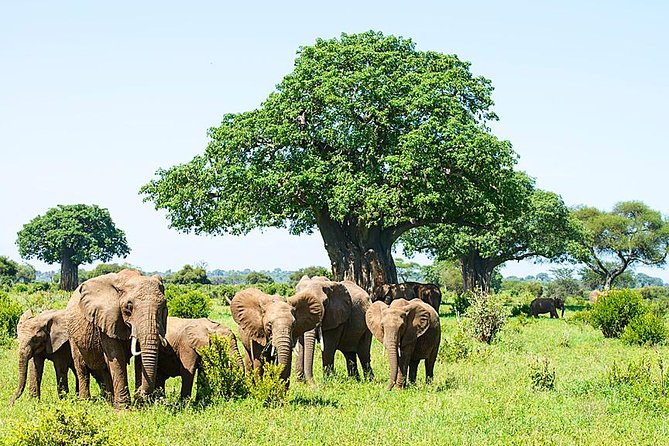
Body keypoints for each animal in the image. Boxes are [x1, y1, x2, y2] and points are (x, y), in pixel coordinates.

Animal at [65, 268, 168, 408]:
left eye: (164, 306)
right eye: (129, 307)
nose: (140, 394)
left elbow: (139, 360)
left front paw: (140, 405)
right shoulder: (106, 319)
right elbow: (117, 357)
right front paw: (124, 409)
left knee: (104, 369)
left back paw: (109, 402)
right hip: (73, 336)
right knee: (82, 368)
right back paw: (85, 402)